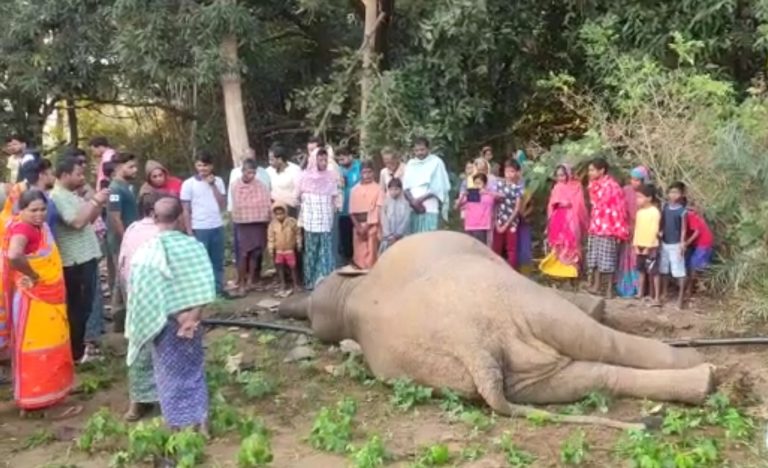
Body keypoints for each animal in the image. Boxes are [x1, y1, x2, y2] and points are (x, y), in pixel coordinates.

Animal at [279, 231, 715, 429]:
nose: (287, 309)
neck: (351, 297)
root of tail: (475, 350)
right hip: (515, 304)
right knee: (598, 343)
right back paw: (705, 371)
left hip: (507, 369)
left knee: (587, 377)